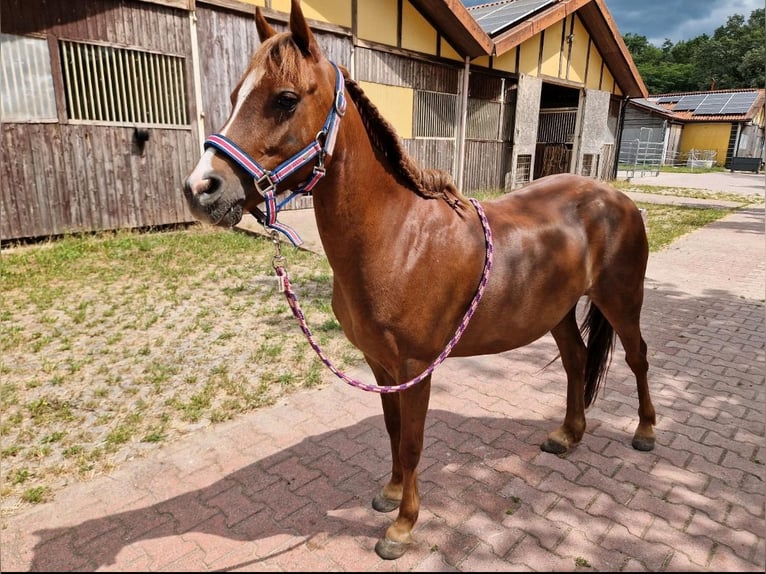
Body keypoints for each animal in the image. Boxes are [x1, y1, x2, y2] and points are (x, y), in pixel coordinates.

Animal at [183, 0, 656, 560]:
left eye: (285, 99)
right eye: (236, 95)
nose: (202, 189)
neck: (400, 237)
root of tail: (615, 198)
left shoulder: (416, 366)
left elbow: (411, 441)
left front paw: (403, 527)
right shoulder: (380, 364)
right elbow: (391, 430)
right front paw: (389, 495)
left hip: (621, 300)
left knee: (637, 357)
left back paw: (645, 432)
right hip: (558, 311)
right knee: (577, 361)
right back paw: (568, 435)